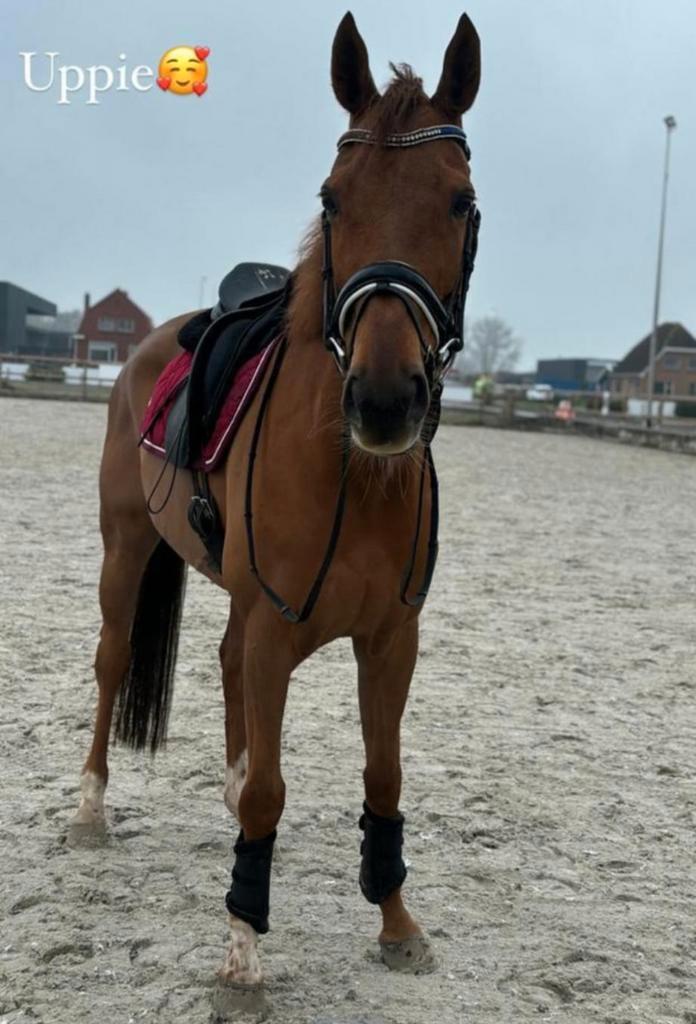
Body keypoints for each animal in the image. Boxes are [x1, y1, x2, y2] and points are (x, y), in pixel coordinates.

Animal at [69, 10, 481, 994]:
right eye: (332, 199)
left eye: (458, 202)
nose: (384, 401)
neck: (354, 472)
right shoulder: (273, 630)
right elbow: (270, 791)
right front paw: (243, 946)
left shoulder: (390, 639)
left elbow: (383, 779)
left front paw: (397, 923)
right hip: (125, 550)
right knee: (110, 662)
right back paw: (90, 808)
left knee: (218, 664)